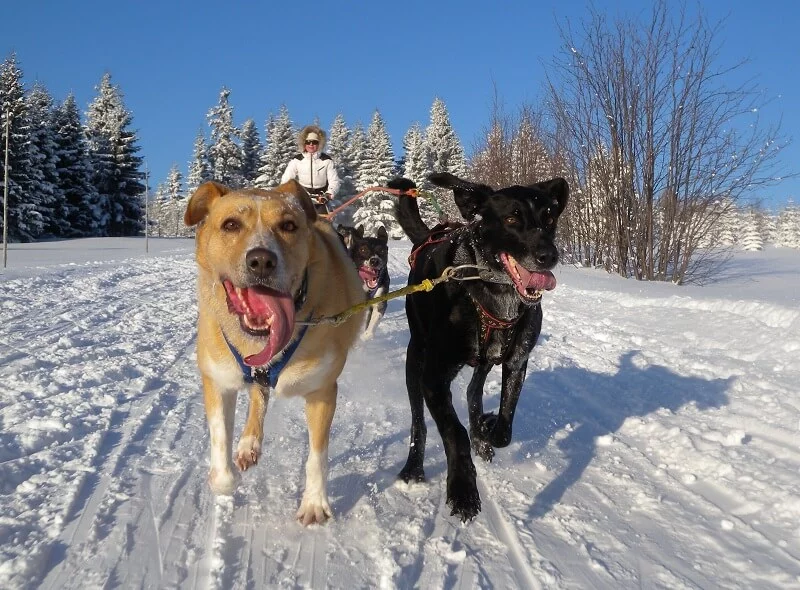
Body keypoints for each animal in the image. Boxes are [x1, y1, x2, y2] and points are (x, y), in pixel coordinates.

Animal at [183, 180, 364, 528]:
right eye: (230, 225)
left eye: (288, 225)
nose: (261, 261)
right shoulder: (217, 381)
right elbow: (221, 453)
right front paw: (225, 474)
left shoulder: (322, 392)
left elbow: (317, 456)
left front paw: (314, 502)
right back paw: (247, 444)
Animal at [390, 172, 568, 524]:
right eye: (512, 218)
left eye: (549, 218)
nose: (548, 255)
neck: (494, 290)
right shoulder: (434, 377)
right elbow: (453, 431)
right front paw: (462, 487)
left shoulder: (516, 363)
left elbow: (505, 426)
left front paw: (486, 431)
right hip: (415, 360)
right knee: (418, 420)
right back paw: (414, 466)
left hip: (484, 360)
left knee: (474, 391)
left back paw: (480, 434)